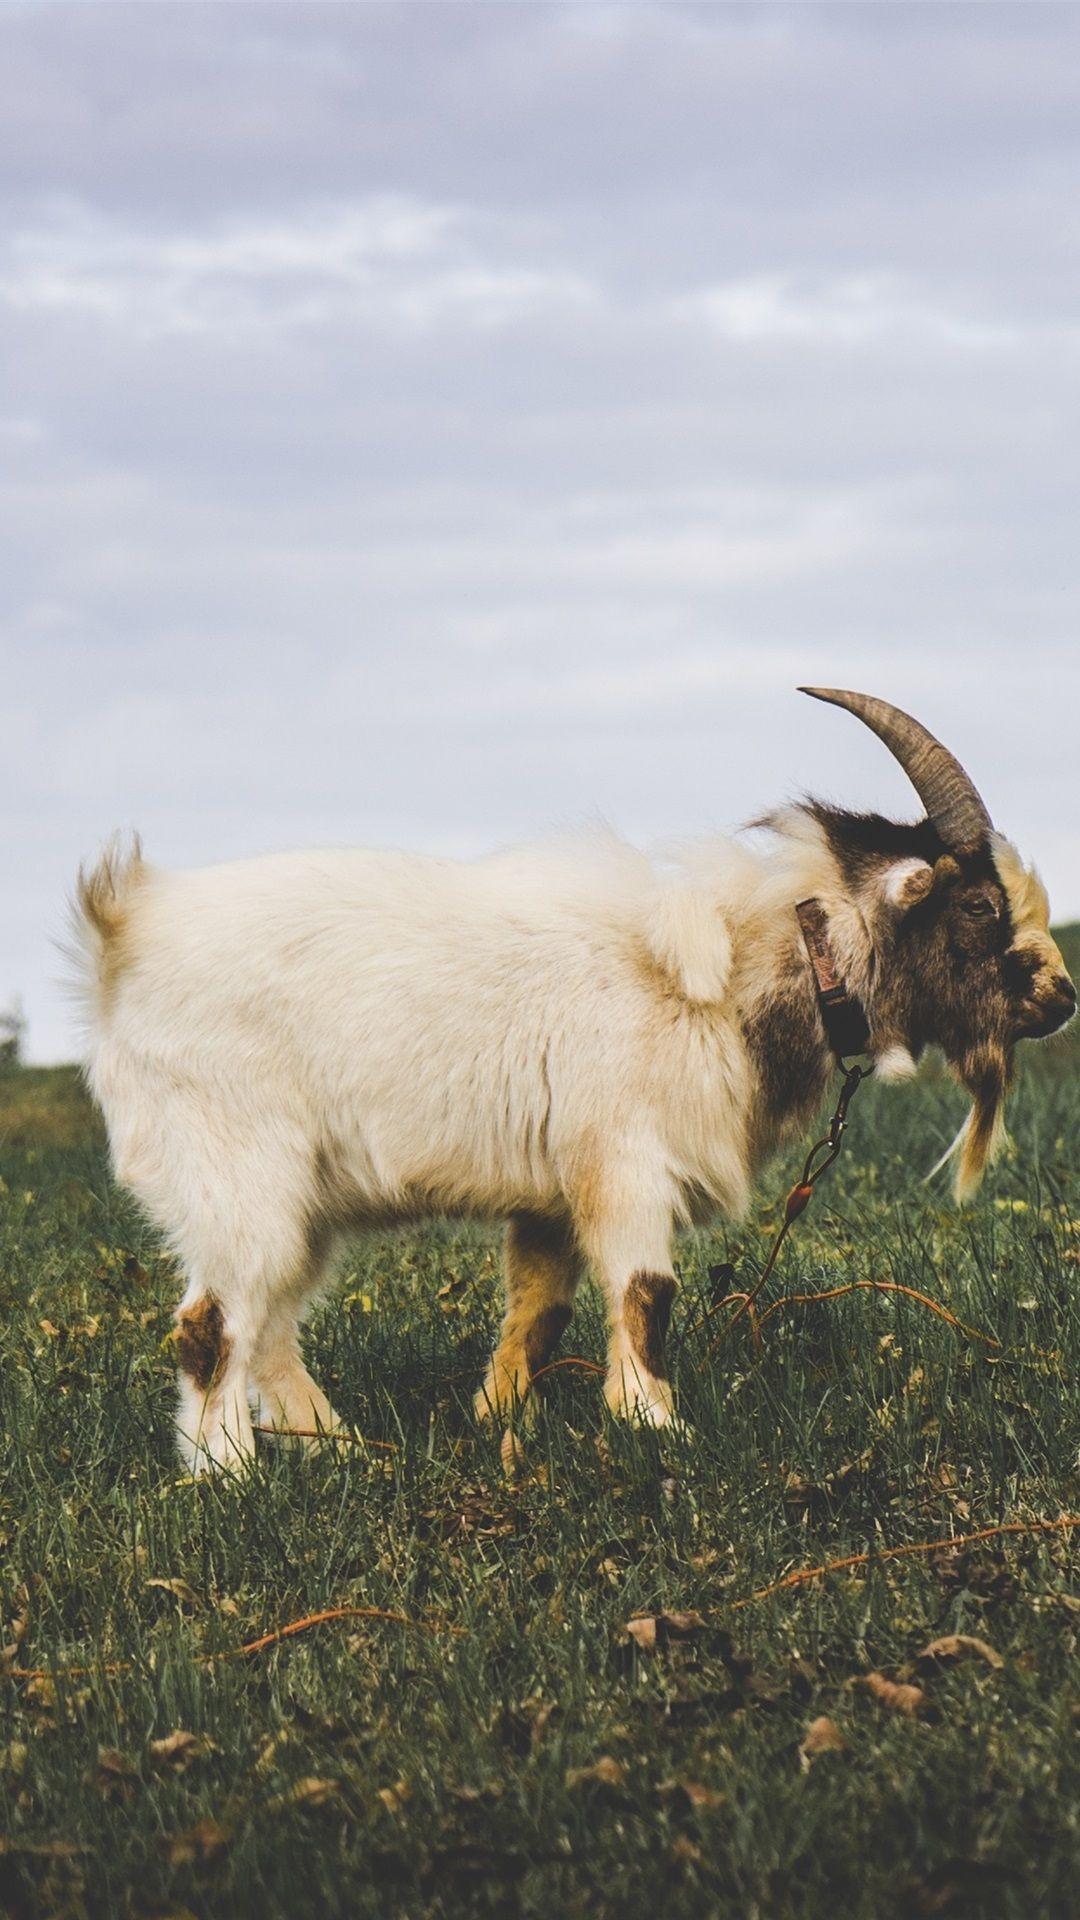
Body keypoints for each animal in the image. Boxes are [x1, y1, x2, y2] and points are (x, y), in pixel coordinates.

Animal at [74, 689, 1075, 1470]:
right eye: (978, 906)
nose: (1061, 996)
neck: (732, 974)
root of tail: (127, 934)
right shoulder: (623, 1162)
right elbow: (646, 1293)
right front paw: (659, 1430)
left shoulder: (551, 1196)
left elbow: (539, 1312)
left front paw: (496, 1421)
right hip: (236, 1174)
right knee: (211, 1324)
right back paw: (231, 1478)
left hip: (298, 1203)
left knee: (271, 1323)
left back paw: (343, 1447)